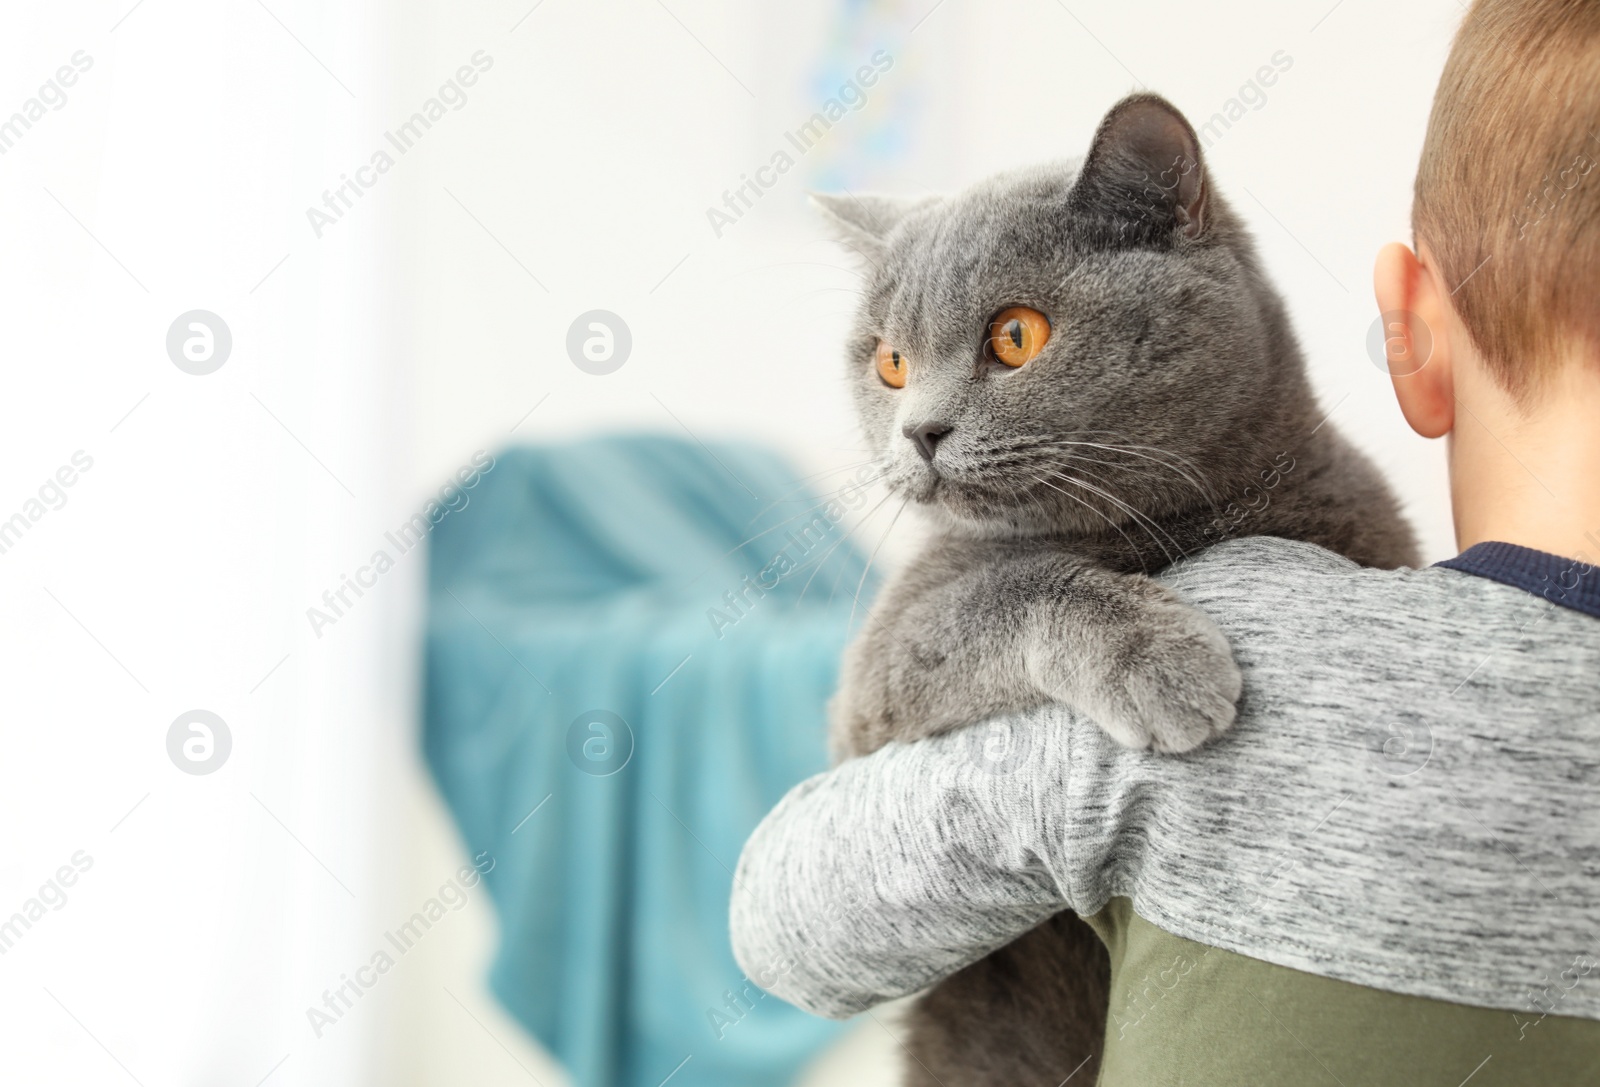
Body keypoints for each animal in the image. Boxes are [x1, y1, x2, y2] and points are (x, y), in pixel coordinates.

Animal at [819, 95, 1420, 1087]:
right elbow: (1020, 583)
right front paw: (1163, 661)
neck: (1179, 523)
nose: (918, 432)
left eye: (1015, 335)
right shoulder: (868, 694)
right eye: (891, 363)